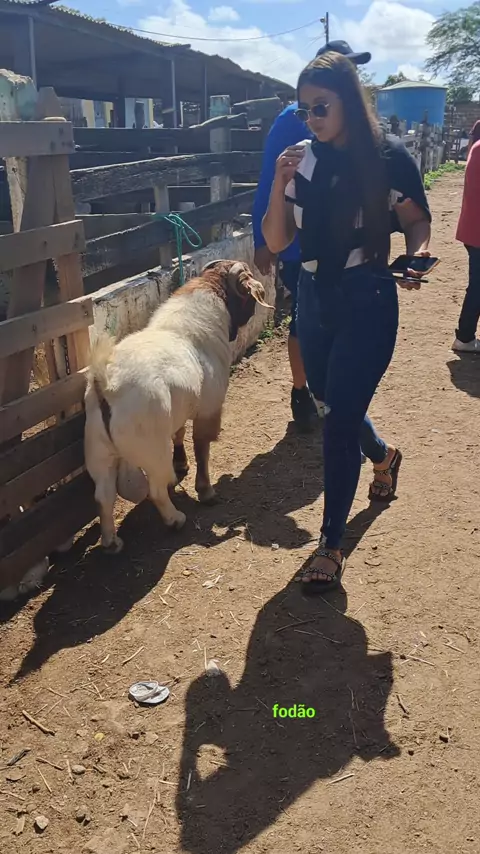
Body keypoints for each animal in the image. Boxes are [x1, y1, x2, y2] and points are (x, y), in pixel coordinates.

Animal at [84, 259, 271, 553]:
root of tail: (108, 383)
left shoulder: (180, 409)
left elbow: (179, 434)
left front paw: (182, 464)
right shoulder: (209, 409)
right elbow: (202, 449)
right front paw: (206, 491)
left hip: (98, 451)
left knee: (103, 496)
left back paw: (112, 542)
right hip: (151, 448)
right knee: (156, 490)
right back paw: (175, 519)